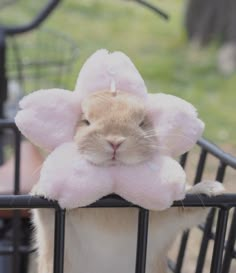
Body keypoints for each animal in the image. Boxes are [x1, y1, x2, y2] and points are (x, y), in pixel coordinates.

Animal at [31, 90, 225, 272]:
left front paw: (211, 188)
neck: (113, 198)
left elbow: (190, 210)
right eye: (86, 121)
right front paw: (41, 190)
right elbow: (45, 213)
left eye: (142, 123)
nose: (115, 141)